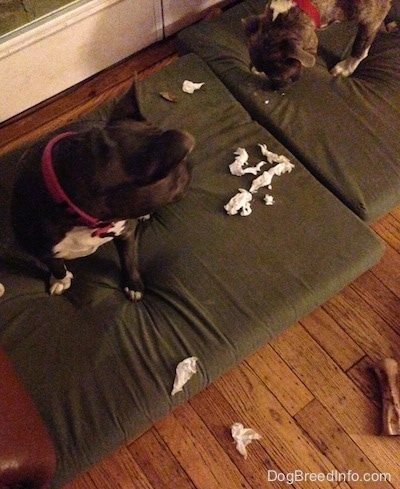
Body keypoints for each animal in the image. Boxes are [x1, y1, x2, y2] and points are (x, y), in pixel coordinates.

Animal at [11, 82, 195, 300]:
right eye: (180, 167)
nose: (191, 165)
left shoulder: (126, 232)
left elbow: (129, 258)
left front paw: (133, 284)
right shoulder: (40, 249)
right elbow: (55, 264)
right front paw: (60, 280)